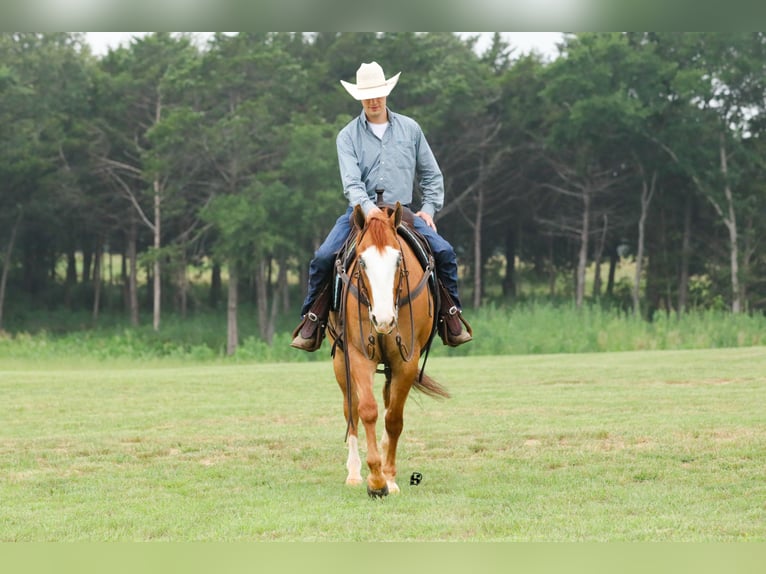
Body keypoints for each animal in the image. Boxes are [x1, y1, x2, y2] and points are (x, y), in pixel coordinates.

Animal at [328, 202, 450, 500]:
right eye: (361, 261)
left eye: (397, 260)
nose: (383, 320)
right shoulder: (358, 355)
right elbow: (367, 410)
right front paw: (375, 480)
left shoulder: (406, 360)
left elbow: (393, 418)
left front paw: (389, 477)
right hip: (340, 362)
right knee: (351, 410)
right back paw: (354, 473)